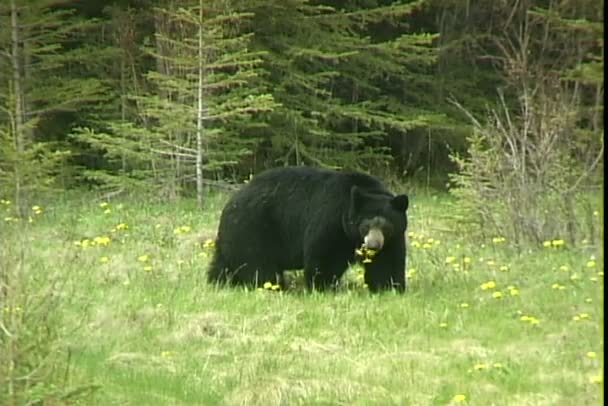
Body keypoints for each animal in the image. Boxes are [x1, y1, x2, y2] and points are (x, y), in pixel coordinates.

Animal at [207, 166, 410, 292]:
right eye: (365, 225)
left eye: (386, 226)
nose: (373, 245)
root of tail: (231, 202)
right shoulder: (331, 219)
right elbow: (325, 255)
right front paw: (322, 286)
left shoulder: (392, 239)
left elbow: (387, 263)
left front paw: (388, 288)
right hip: (253, 228)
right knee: (257, 264)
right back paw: (271, 286)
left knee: (223, 263)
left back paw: (219, 282)